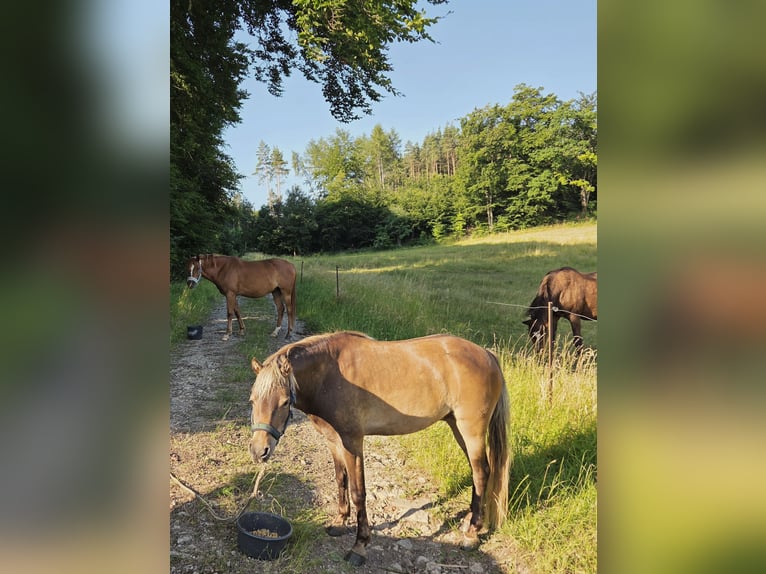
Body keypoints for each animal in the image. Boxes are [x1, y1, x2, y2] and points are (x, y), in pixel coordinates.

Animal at [248, 331, 510, 566]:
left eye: (284, 402)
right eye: (252, 400)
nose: (259, 451)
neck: (330, 375)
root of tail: (487, 355)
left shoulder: (353, 442)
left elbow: (358, 492)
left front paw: (359, 546)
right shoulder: (334, 441)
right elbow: (341, 480)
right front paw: (340, 522)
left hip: (471, 432)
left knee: (481, 472)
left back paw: (471, 534)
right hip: (457, 427)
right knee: (479, 474)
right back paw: (469, 522)